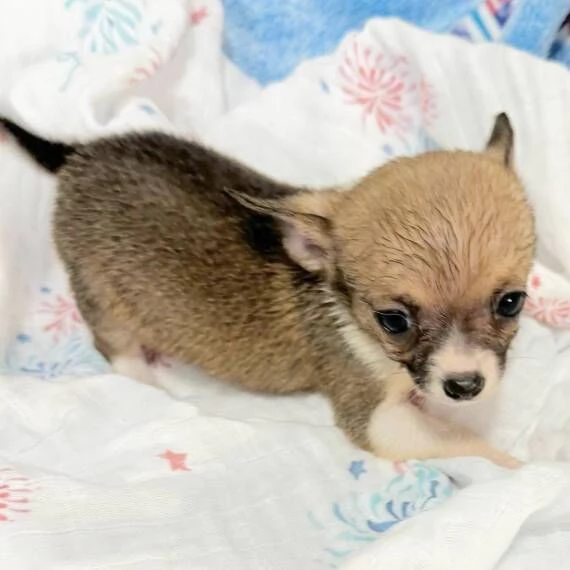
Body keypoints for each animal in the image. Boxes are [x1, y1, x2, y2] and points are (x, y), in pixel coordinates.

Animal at [1, 114, 532, 466]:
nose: (465, 386)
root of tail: (75, 156)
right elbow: (461, 442)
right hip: (99, 291)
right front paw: (518, 471)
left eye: (511, 303)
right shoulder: (376, 420)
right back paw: (148, 379)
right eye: (393, 322)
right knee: (115, 345)